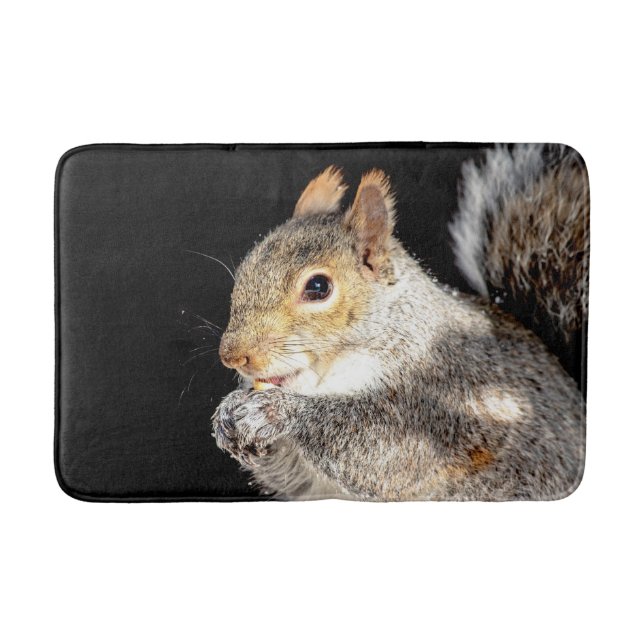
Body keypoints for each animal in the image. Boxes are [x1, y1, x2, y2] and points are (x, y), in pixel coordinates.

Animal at [210, 144, 588, 501]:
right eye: (245, 269)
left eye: (318, 287)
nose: (232, 356)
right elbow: (291, 475)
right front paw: (228, 415)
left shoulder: (434, 403)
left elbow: (385, 453)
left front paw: (276, 412)